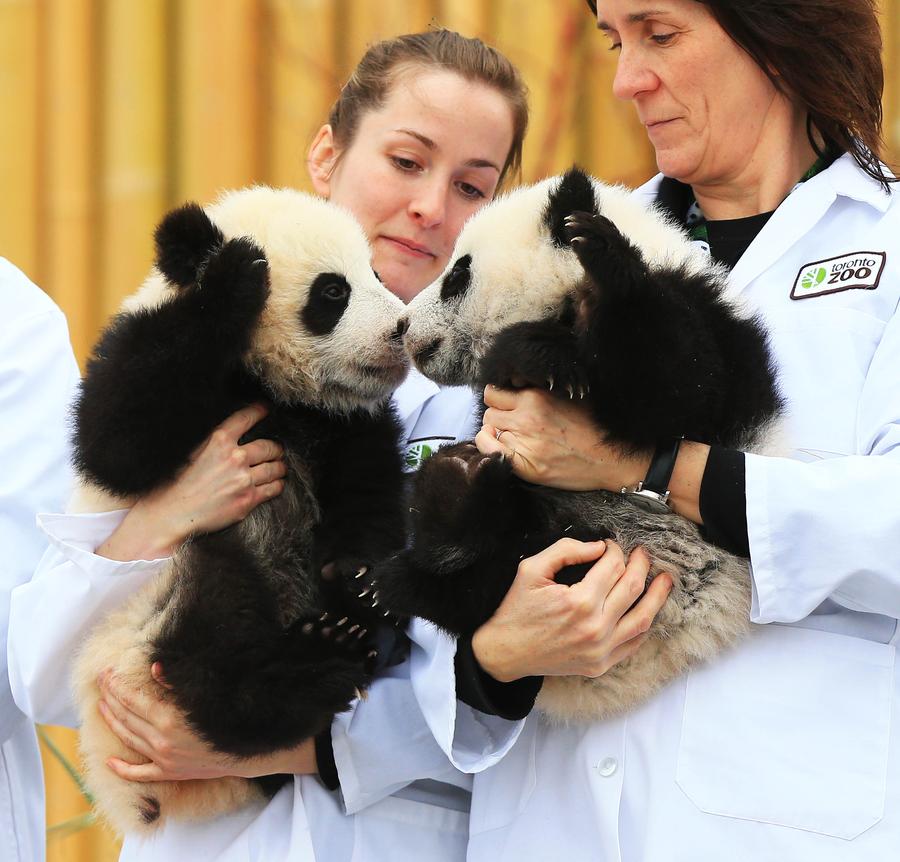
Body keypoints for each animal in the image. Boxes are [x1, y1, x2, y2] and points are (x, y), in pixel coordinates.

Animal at [71, 186, 409, 835]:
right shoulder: (146, 351)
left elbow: (369, 491)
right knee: (215, 651)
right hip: (146, 629)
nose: (403, 326)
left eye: (377, 273)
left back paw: (348, 634)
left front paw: (362, 583)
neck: (273, 386)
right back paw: (315, 666)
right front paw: (234, 273)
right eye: (333, 292)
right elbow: (117, 440)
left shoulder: (344, 424)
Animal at [373, 167, 784, 723]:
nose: (405, 328)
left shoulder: (708, 330)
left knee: (491, 578)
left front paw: (598, 257)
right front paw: (540, 358)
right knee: (482, 581)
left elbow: (681, 387)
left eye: (458, 275)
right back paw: (437, 516)